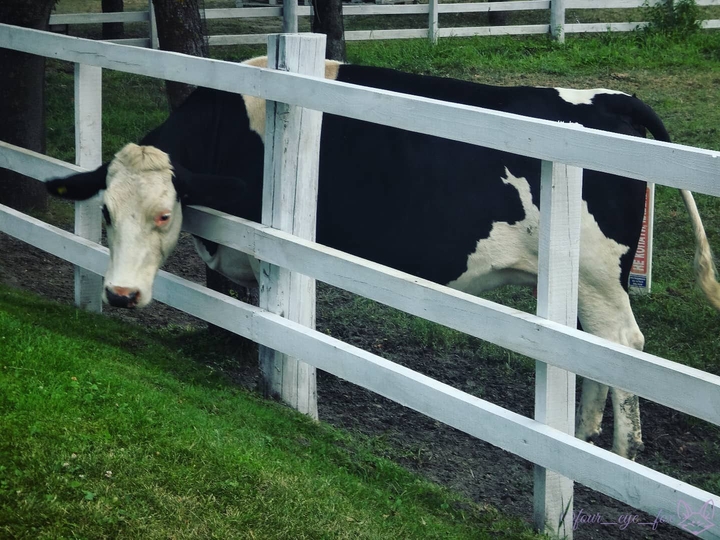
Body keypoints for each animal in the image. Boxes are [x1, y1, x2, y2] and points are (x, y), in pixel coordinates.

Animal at [46, 57, 720, 460]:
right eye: (106, 214)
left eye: (165, 214)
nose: (120, 295)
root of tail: (608, 98)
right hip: (586, 283)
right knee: (598, 352)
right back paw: (581, 436)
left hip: (597, 274)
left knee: (624, 345)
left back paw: (619, 453)